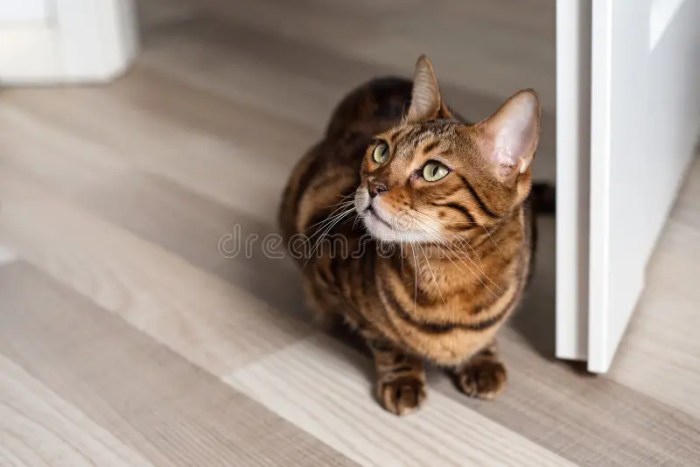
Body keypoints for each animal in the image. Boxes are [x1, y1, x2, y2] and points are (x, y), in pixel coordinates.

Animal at [282, 55, 544, 416]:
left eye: (434, 171)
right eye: (380, 152)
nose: (373, 186)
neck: (450, 273)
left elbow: (489, 331)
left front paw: (481, 357)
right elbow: (385, 339)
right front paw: (403, 376)